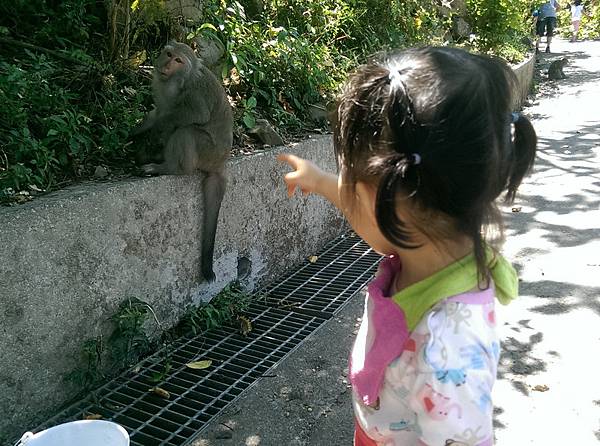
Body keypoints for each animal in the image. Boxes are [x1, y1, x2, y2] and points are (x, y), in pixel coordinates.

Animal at [131, 40, 232, 280]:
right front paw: (135, 132)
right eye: (169, 54)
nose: (167, 65)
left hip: (208, 152)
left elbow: (193, 116)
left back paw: (168, 167)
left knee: (186, 132)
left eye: (179, 60)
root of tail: (221, 162)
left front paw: (157, 131)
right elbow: (157, 112)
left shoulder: (193, 94)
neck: (176, 80)